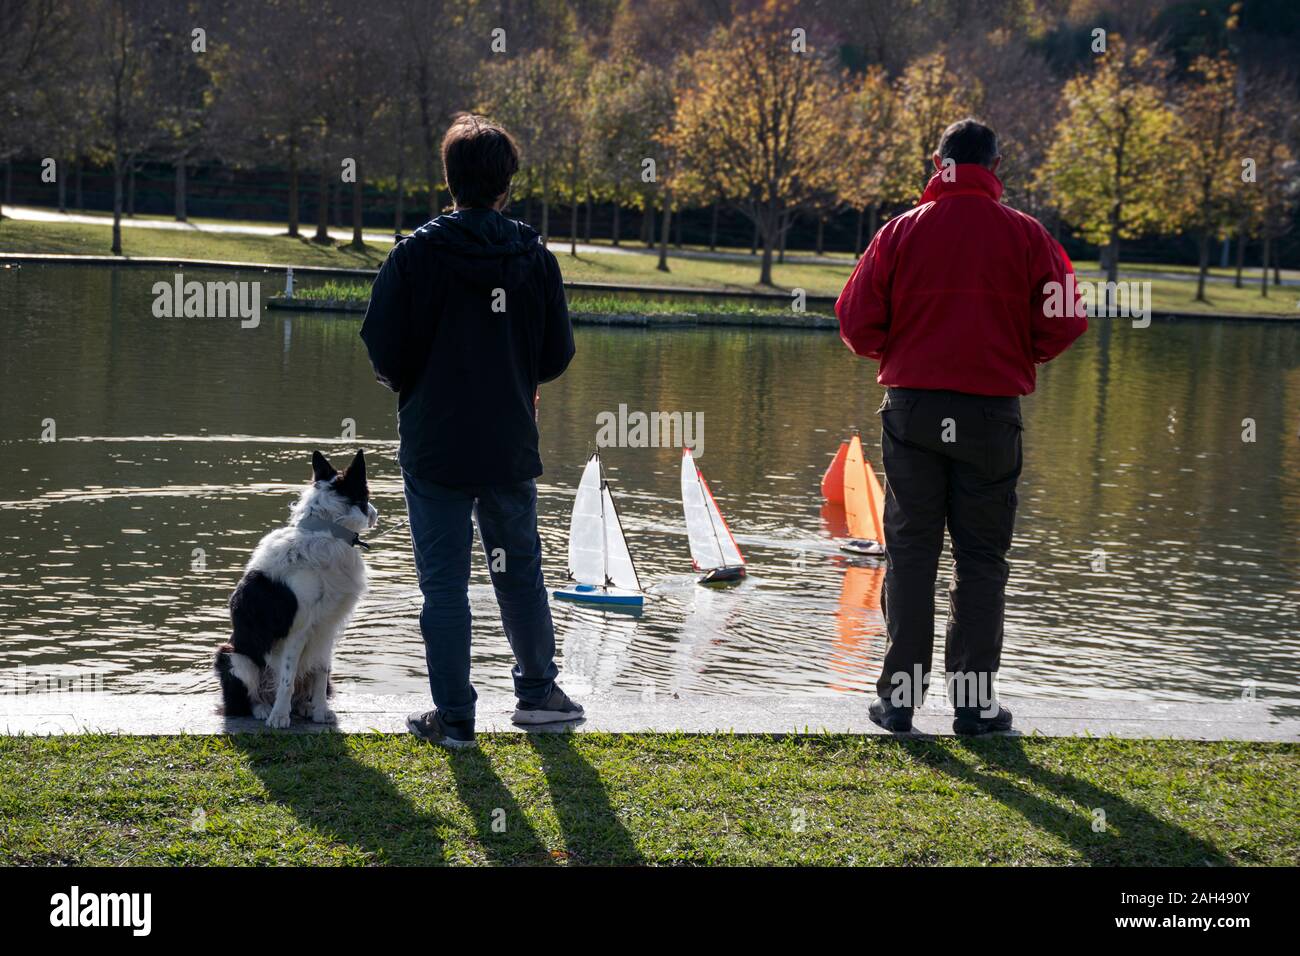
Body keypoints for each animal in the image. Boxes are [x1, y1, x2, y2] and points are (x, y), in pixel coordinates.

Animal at [213, 447, 377, 723]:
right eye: (366, 495)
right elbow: (287, 679)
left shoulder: (326, 627)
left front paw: (320, 712)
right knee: (244, 701)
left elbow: (321, 672)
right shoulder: (296, 630)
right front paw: (279, 717)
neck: (324, 532)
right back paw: (264, 709)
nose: (376, 514)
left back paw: (304, 707)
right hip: (233, 657)